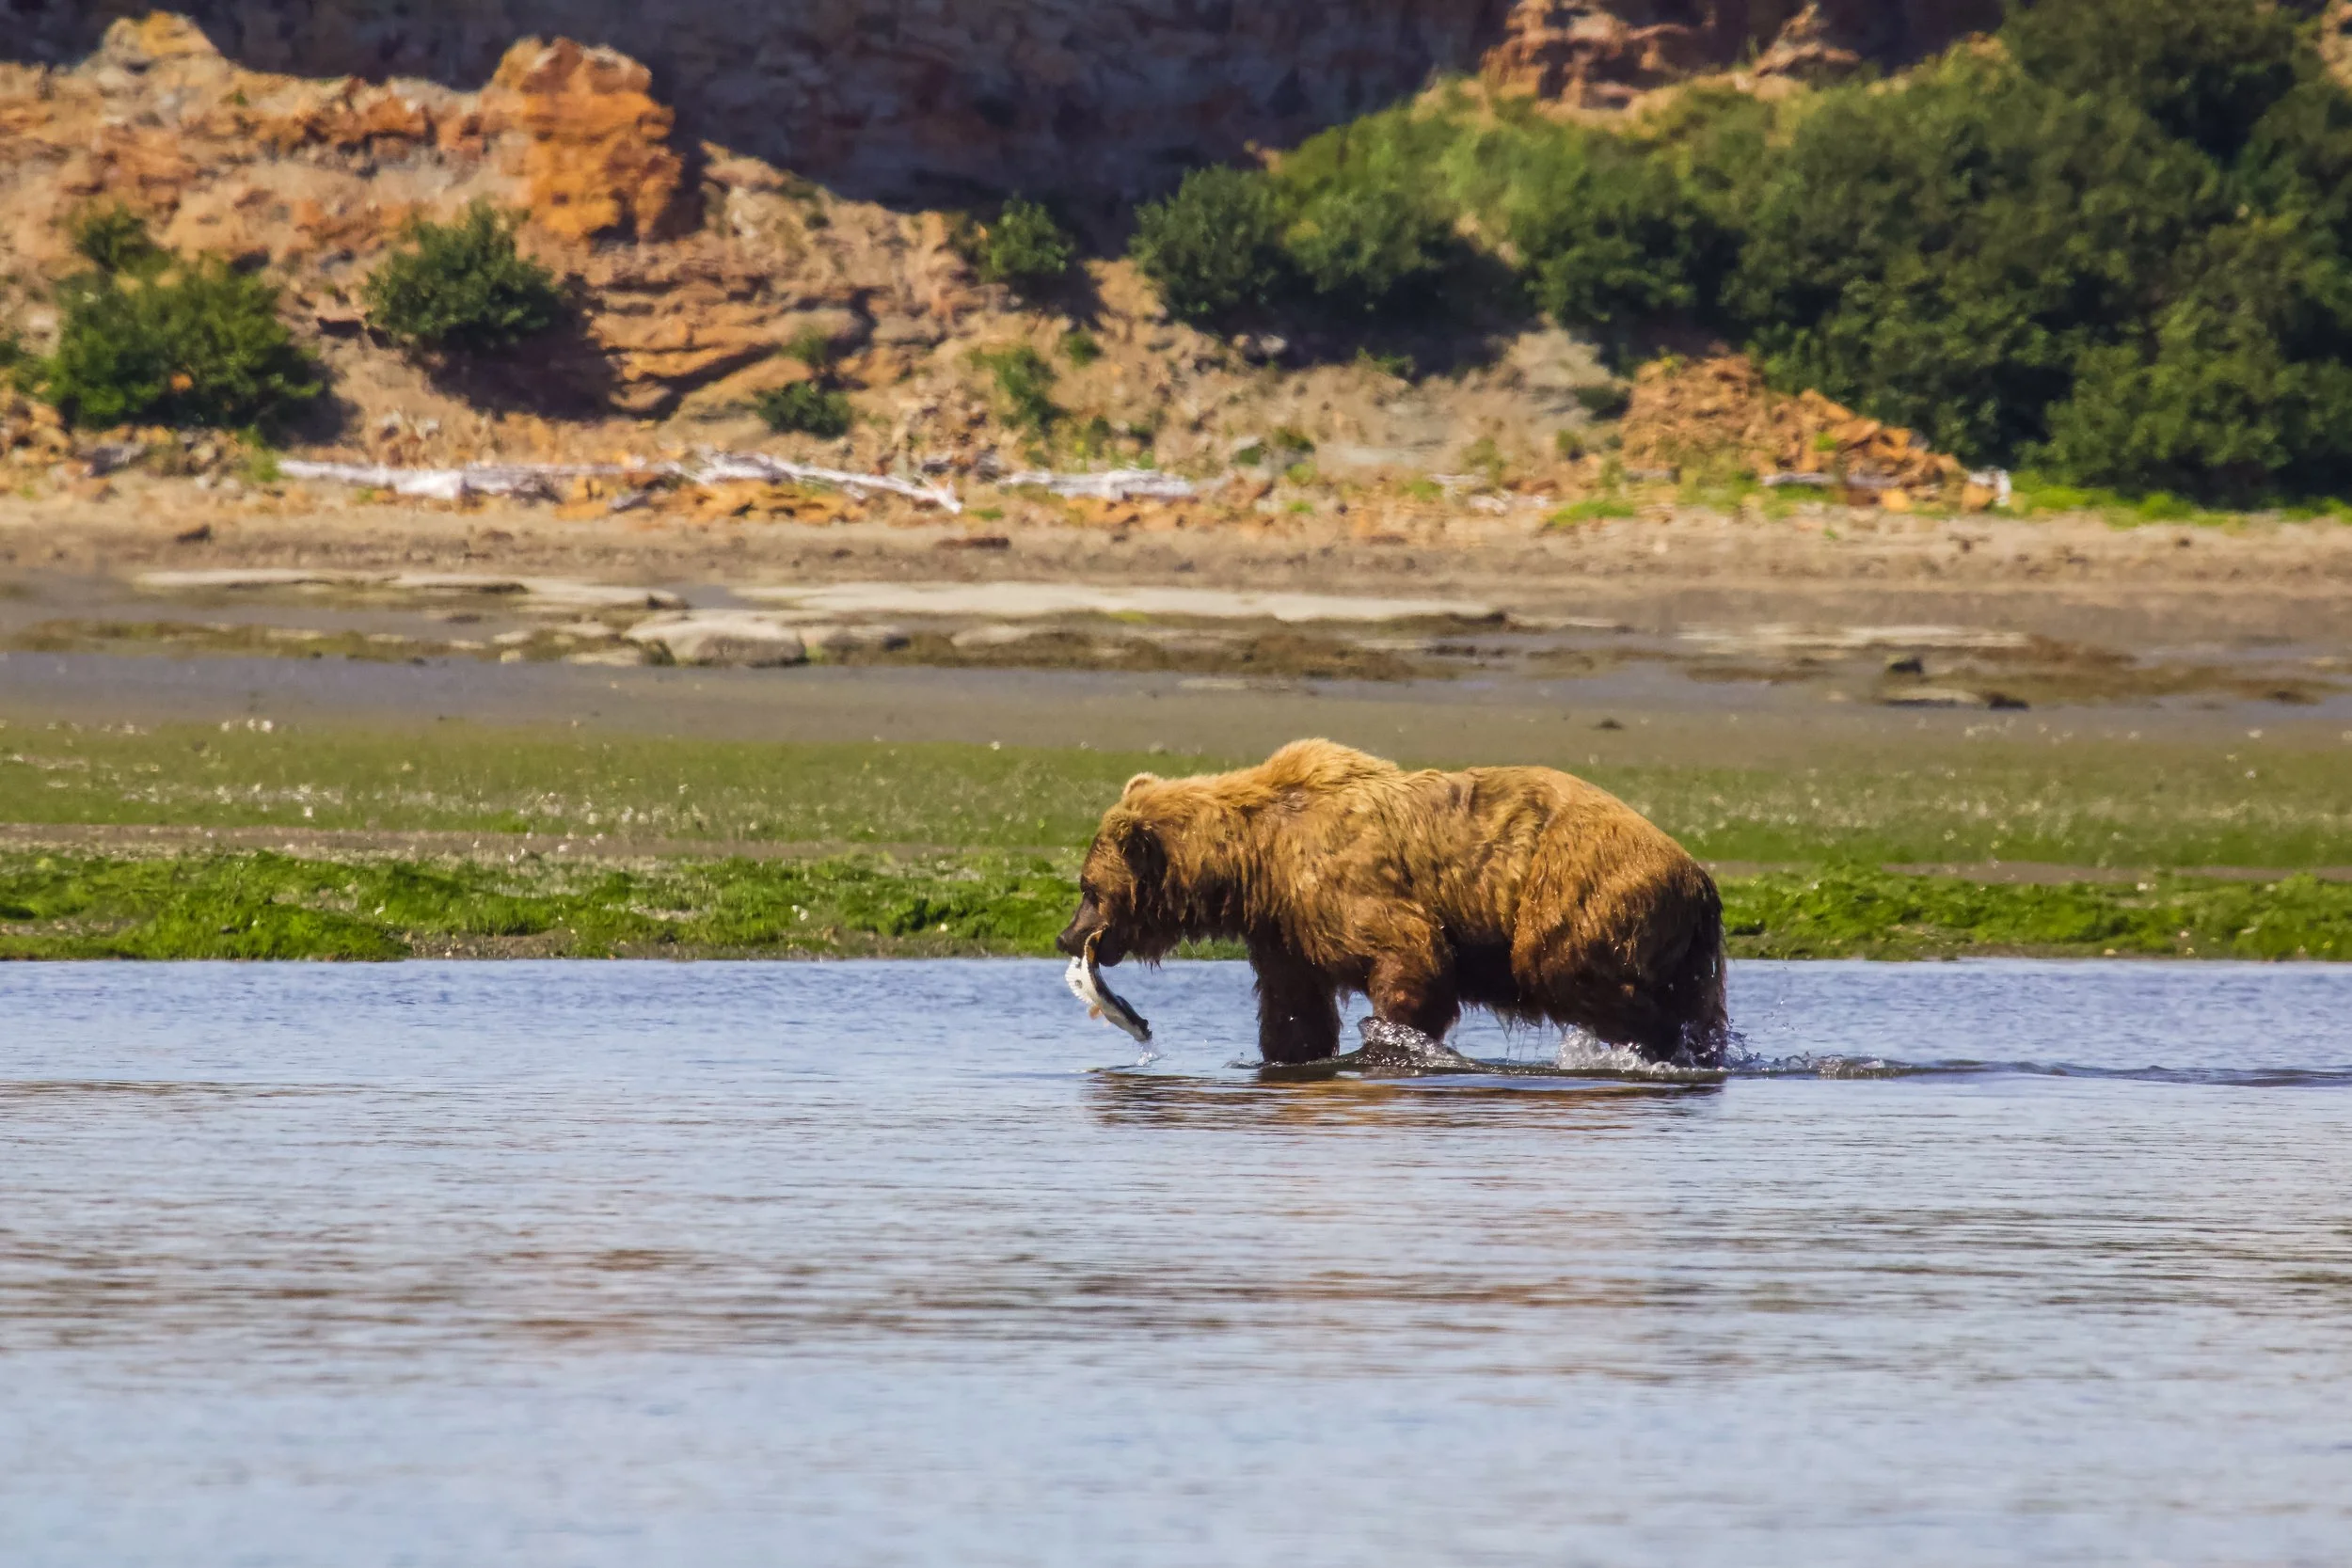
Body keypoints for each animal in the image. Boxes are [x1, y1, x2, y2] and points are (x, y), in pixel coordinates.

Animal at [1056, 739, 1728, 1066]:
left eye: (1089, 888)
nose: (1067, 936)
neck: (1255, 859)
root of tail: (1698, 874)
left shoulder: (1343, 883)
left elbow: (1408, 956)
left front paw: (1389, 1041)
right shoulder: (1285, 925)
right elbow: (1294, 1012)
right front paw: (1291, 1057)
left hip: (1579, 886)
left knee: (1561, 964)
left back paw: (1652, 1042)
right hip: (1684, 943)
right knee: (1697, 1006)